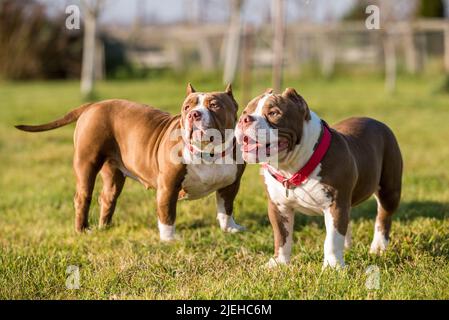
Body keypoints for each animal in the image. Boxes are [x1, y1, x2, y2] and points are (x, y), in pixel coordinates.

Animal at [16, 84, 245, 240]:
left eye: (214, 105)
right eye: (186, 107)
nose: (194, 114)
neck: (209, 152)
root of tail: (94, 104)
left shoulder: (231, 185)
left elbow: (226, 208)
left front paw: (230, 228)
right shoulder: (168, 186)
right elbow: (167, 213)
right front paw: (169, 240)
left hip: (113, 172)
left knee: (107, 198)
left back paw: (105, 227)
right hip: (86, 163)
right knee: (82, 197)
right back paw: (82, 230)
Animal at [234, 87, 402, 268]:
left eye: (273, 113)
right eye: (245, 112)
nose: (243, 119)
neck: (291, 168)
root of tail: (377, 122)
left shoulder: (335, 205)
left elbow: (332, 240)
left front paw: (332, 266)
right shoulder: (278, 207)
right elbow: (281, 237)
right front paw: (279, 263)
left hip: (389, 190)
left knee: (383, 217)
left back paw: (378, 247)